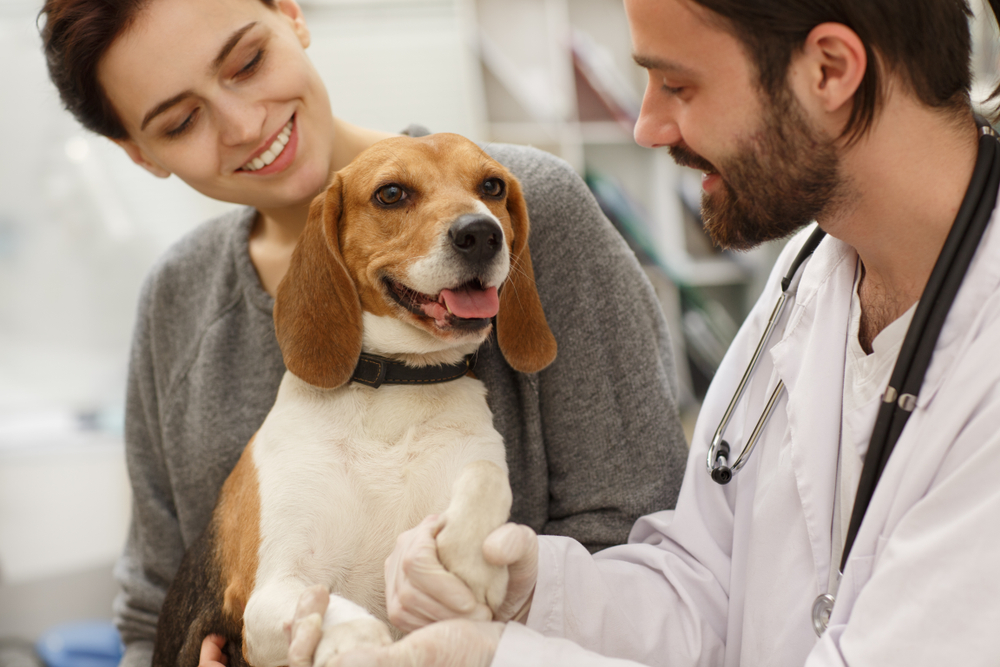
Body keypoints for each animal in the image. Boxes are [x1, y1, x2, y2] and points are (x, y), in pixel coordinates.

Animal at [152, 132, 560, 667]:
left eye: (492, 186)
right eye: (391, 194)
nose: (481, 233)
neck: (398, 386)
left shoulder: (476, 463)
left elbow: (485, 474)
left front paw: (471, 558)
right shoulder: (265, 595)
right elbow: (341, 616)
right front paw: (358, 646)